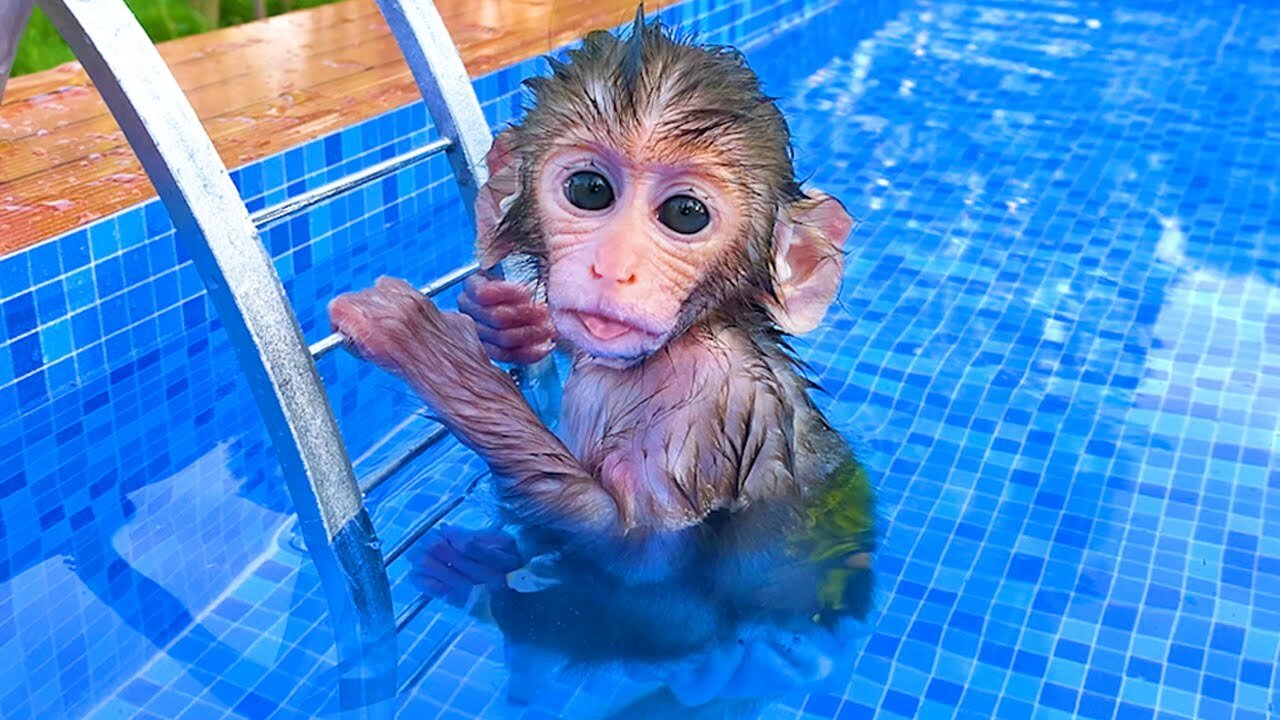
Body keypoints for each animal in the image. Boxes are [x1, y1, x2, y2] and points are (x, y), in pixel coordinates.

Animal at [325, 11, 875, 712]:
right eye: (589, 191)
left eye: (685, 214)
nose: (613, 267)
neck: (684, 339)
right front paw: (507, 320)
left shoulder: (701, 416)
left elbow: (635, 553)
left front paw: (433, 350)